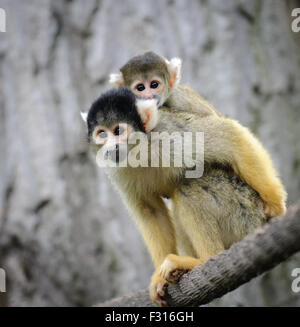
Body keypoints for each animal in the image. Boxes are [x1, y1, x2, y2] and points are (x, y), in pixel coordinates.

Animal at [83, 88, 266, 308]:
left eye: (118, 131)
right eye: (102, 133)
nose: (111, 147)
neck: (141, 149)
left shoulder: (168, 133)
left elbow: (229, 135)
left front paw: (276, 205)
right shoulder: (116, 169)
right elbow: (150, 211)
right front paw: (158, 279)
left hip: (244, 212)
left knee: (190, 186)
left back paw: (207, 258)